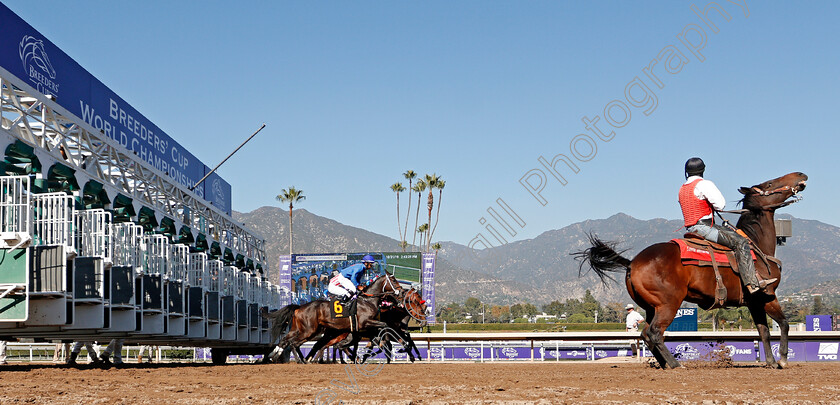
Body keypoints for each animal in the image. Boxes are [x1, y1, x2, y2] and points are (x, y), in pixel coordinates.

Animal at [576, 172, 804, 368]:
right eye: (770, 184)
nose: (800, 175)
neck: (755, 244)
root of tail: (632, 262)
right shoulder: (767, 295)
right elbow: (784, 323)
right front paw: (783, 359)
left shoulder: (754, 301)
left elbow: (763, 331)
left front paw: (771, 362)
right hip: (668, 304)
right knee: (655, 333)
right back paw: (676, 365)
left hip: (651, 307)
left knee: (646, 334)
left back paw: (665, 364)